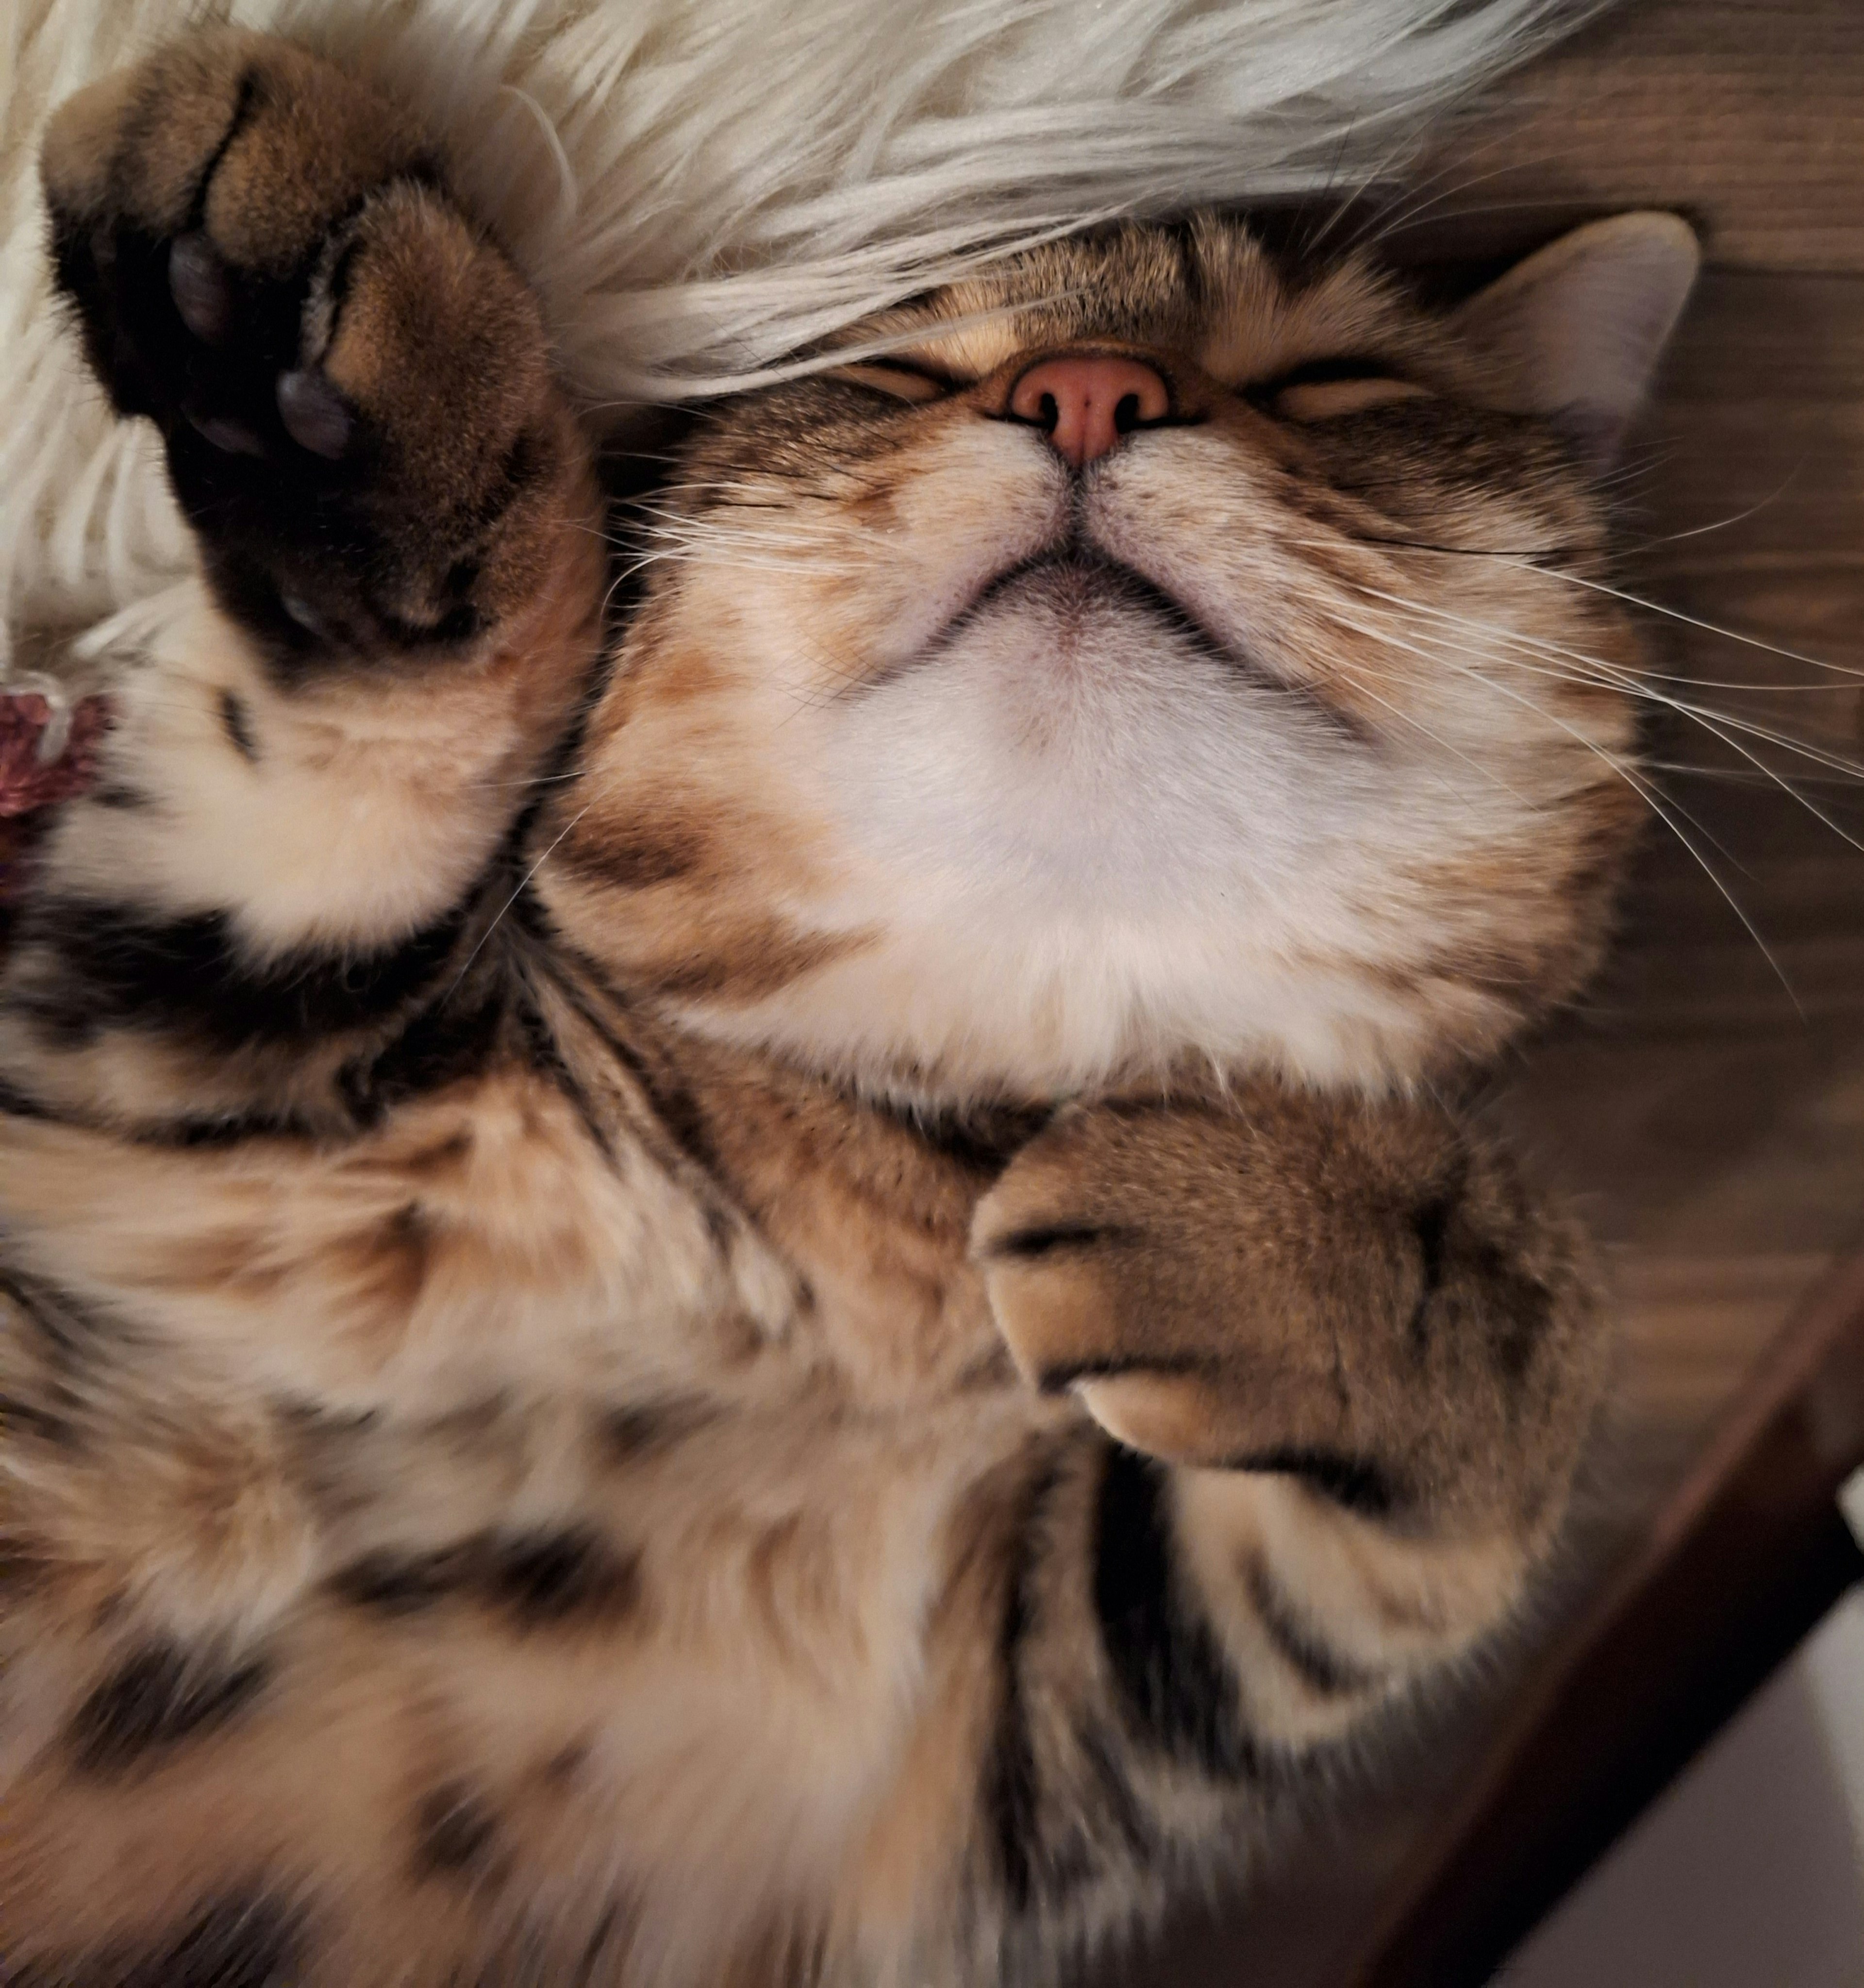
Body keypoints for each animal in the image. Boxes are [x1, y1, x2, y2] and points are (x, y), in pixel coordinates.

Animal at [0, 31, 1693, 1988]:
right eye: (885, 370)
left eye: (1338, 384)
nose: (1085, 385)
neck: (890, 1227)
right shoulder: (159, 1062)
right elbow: (386, 709)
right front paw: (361, 323)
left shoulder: (1015, 1719)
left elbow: (1483, 1426)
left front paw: (1278, 1232)